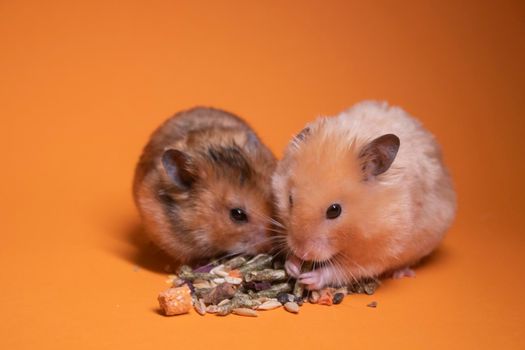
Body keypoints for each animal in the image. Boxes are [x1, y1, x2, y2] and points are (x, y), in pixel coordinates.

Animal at [272, 100, 456, 288]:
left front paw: (309, 278)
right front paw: (292, 266)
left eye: (334, 211)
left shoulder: (377, 253)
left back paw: (400, 272)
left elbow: (341, 270)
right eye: (290, 199)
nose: (303, 253)